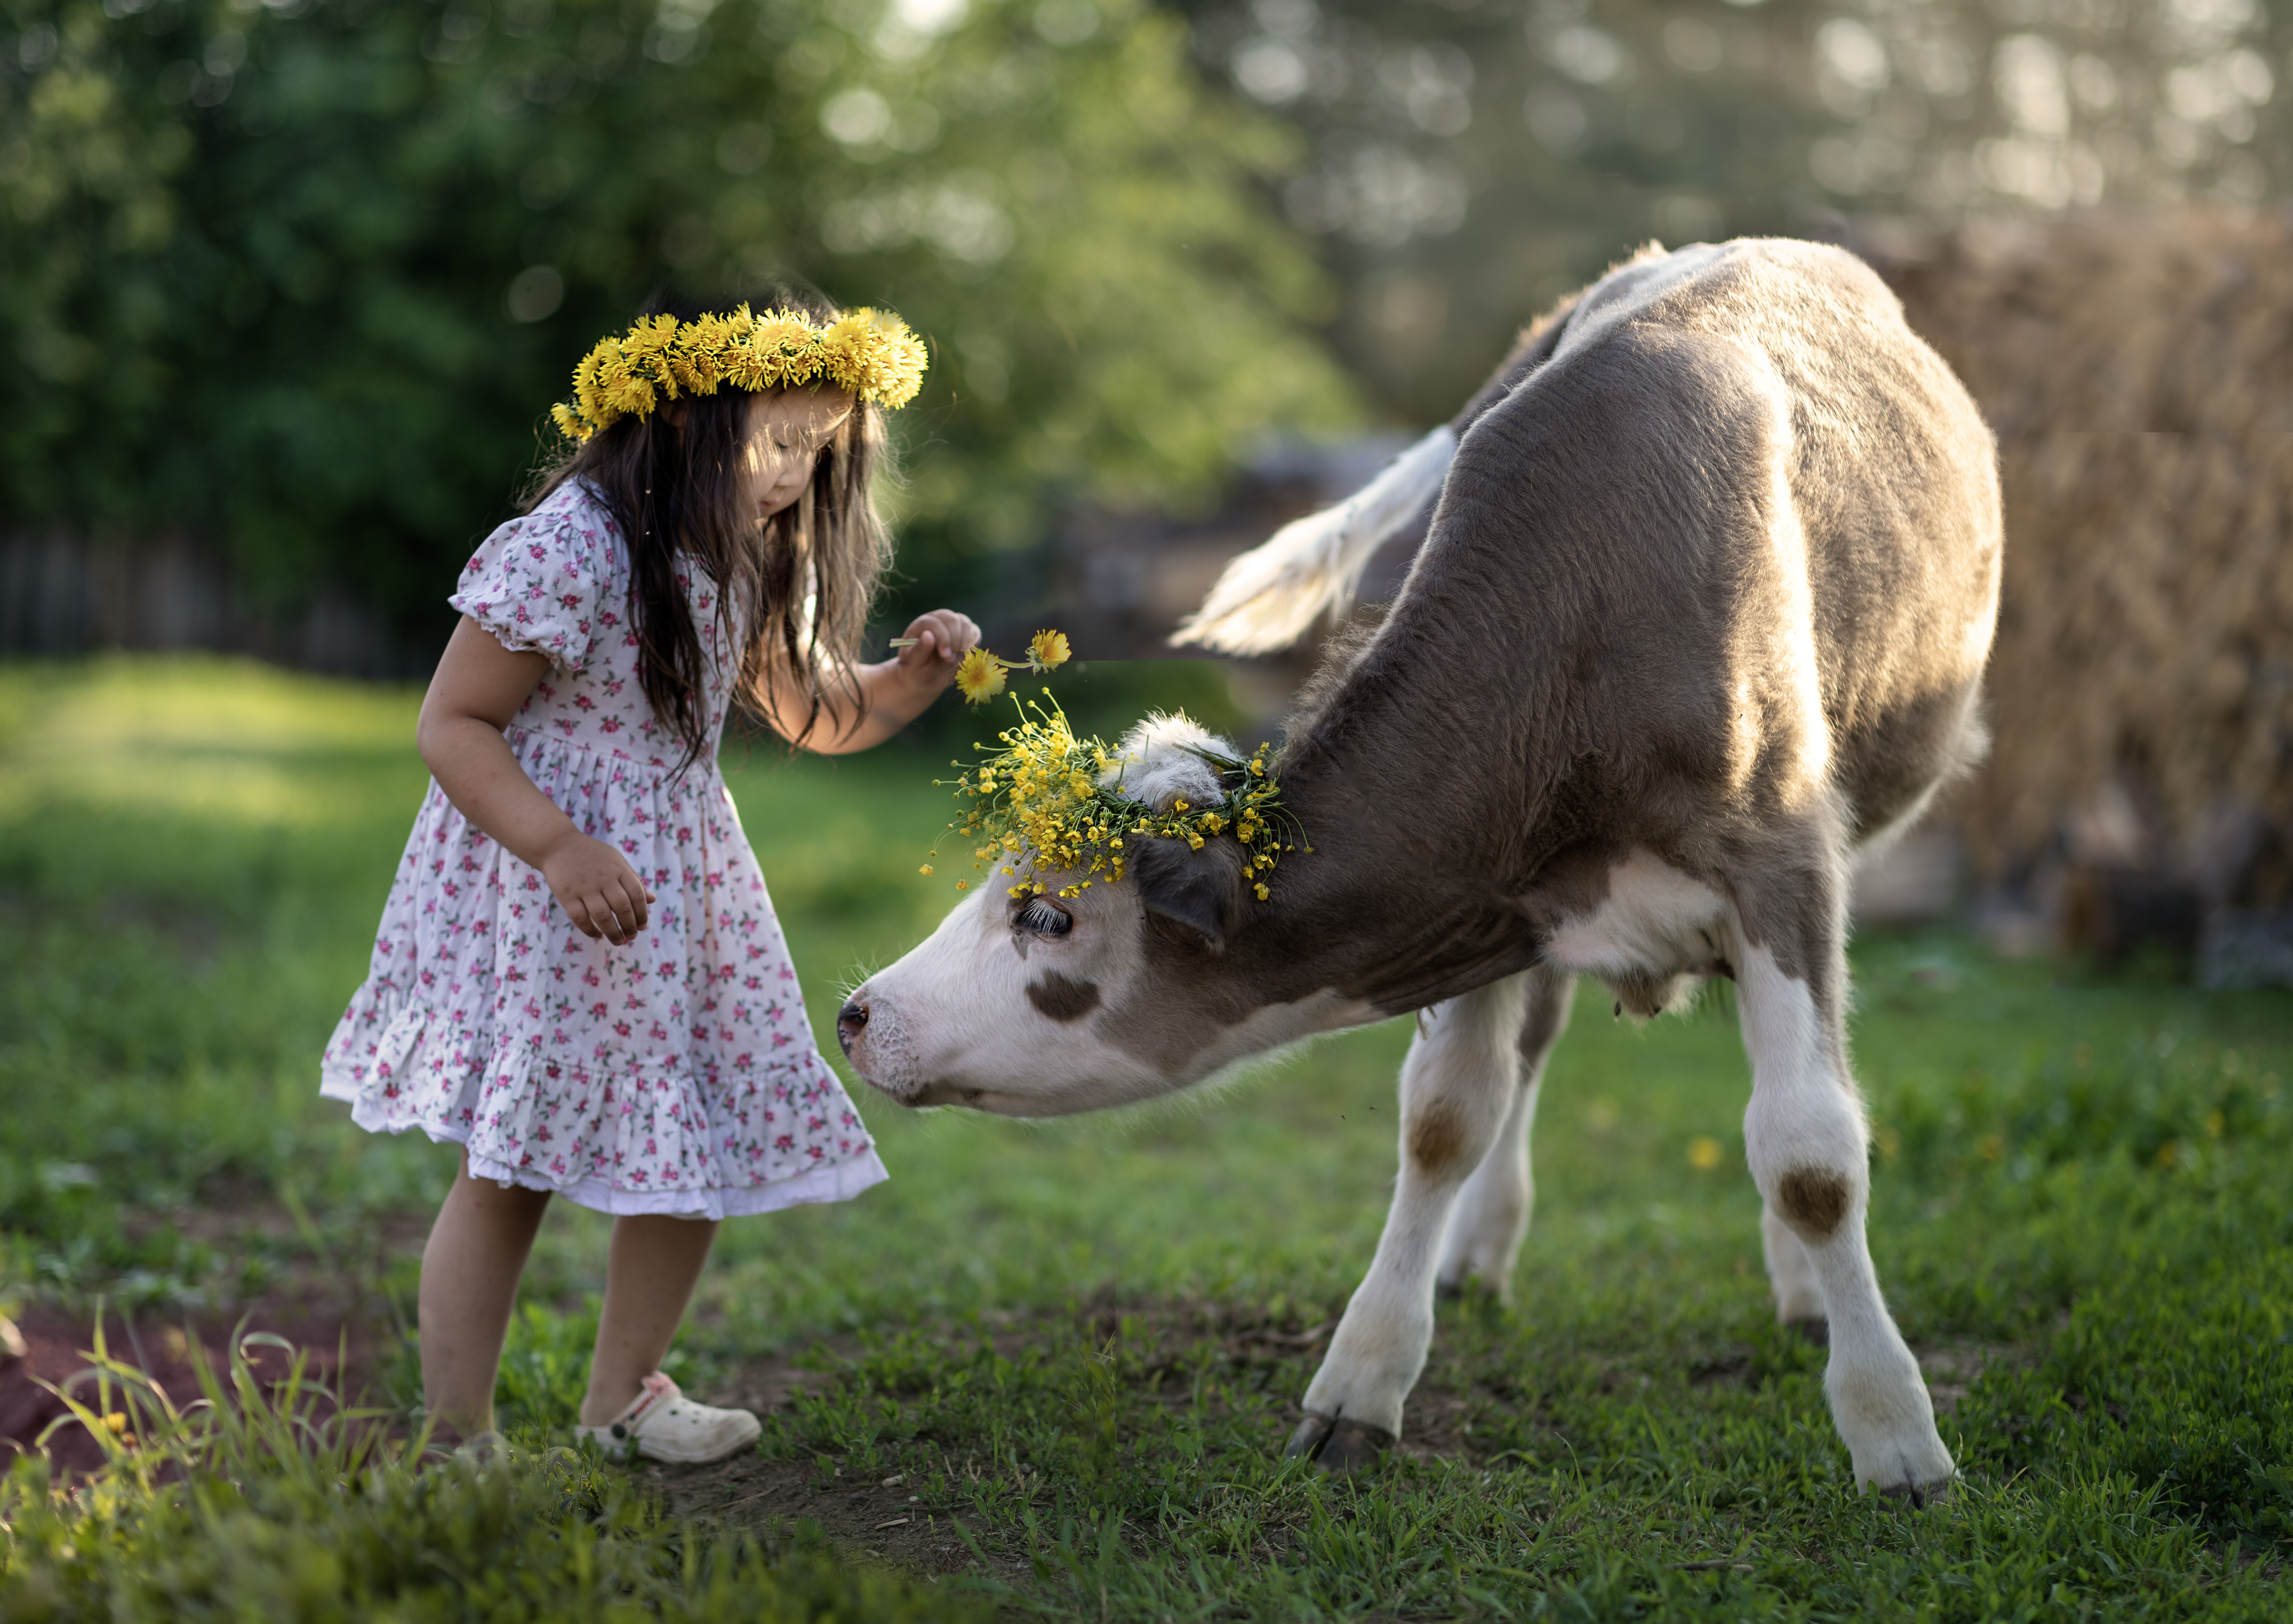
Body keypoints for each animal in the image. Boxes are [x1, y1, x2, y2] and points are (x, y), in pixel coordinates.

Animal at [834, 237, 1999, 1495]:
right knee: (1534, 1054)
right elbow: (1446, 1117)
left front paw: (1896, 1433)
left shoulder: (1782, 867)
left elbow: (1811, 1154)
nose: (856, 1012)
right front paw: (1363, 1383)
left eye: (1047, 916)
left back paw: (1799, 1291)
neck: (1584, 623)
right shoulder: (1492, 894)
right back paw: (1478, 1252)